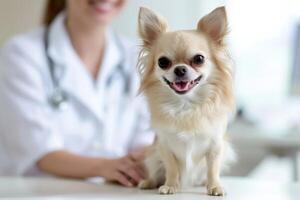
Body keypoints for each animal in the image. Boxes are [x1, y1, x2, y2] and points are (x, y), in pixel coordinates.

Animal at [137, 6, 236, 197]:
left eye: (199, 59)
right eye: (162, 62)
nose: (180, 69)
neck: (185, 104)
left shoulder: (215, 145)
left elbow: (213, 169)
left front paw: (214, 186)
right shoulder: (164, 146)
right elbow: (172, 168)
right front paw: (170, 185)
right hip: (152, 156)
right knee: (155, 171)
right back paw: (149, 182)